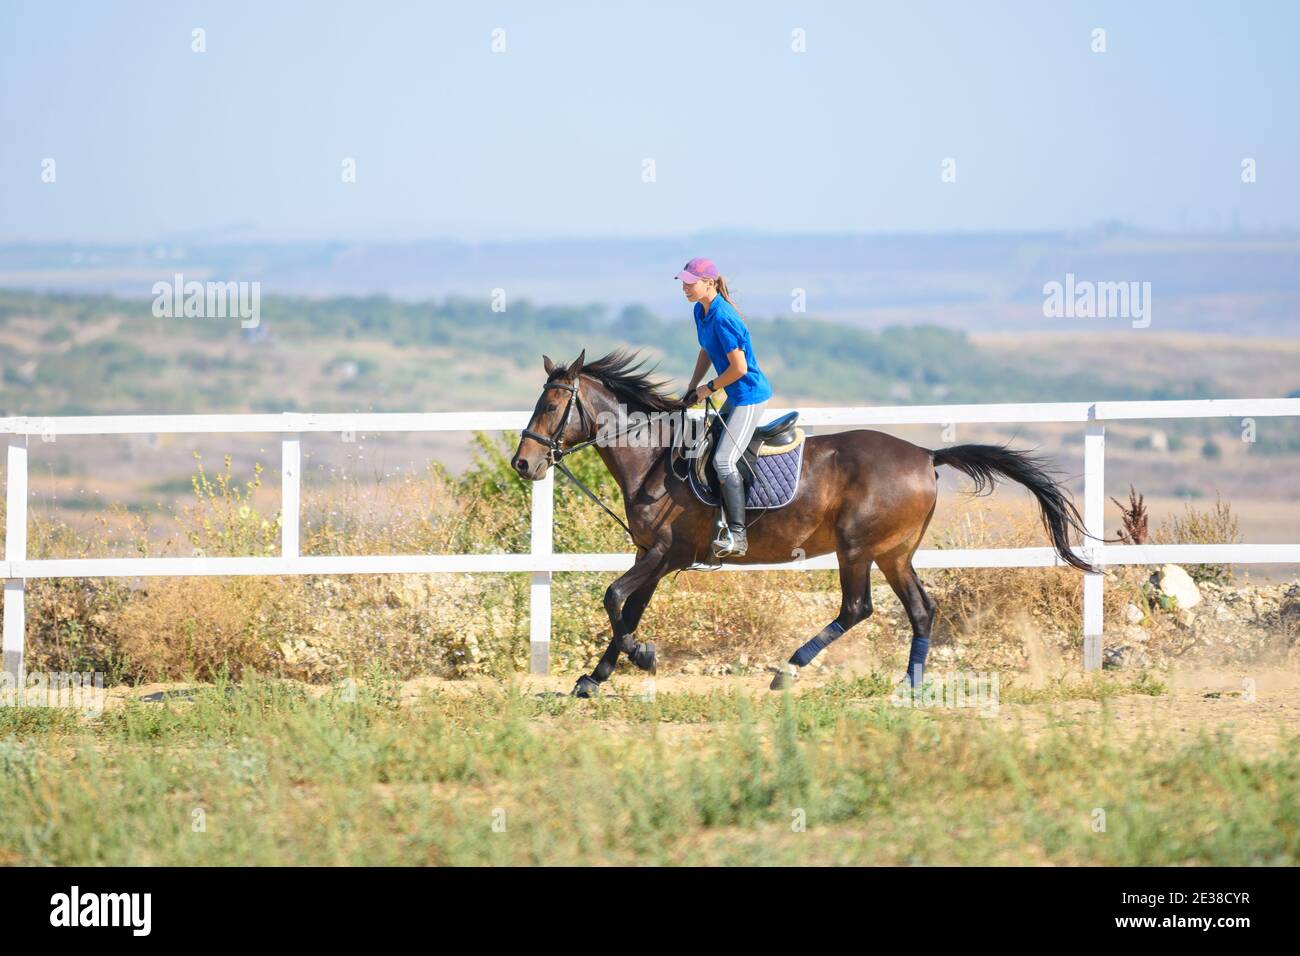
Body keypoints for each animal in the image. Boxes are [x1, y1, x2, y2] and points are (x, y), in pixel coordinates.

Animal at [510, 349, 1097, 697]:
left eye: (553, 405)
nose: (523, 464)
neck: (655, 459)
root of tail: (927, 454)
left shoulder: (665, 554)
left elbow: (613, 598)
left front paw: (641, 657)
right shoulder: (649, 555)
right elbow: (627, 608)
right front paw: (596, 677)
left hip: (857, 548)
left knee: (857, 608)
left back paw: (788, 669)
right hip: (894, 553)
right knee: (921, 610)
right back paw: (910, 683)